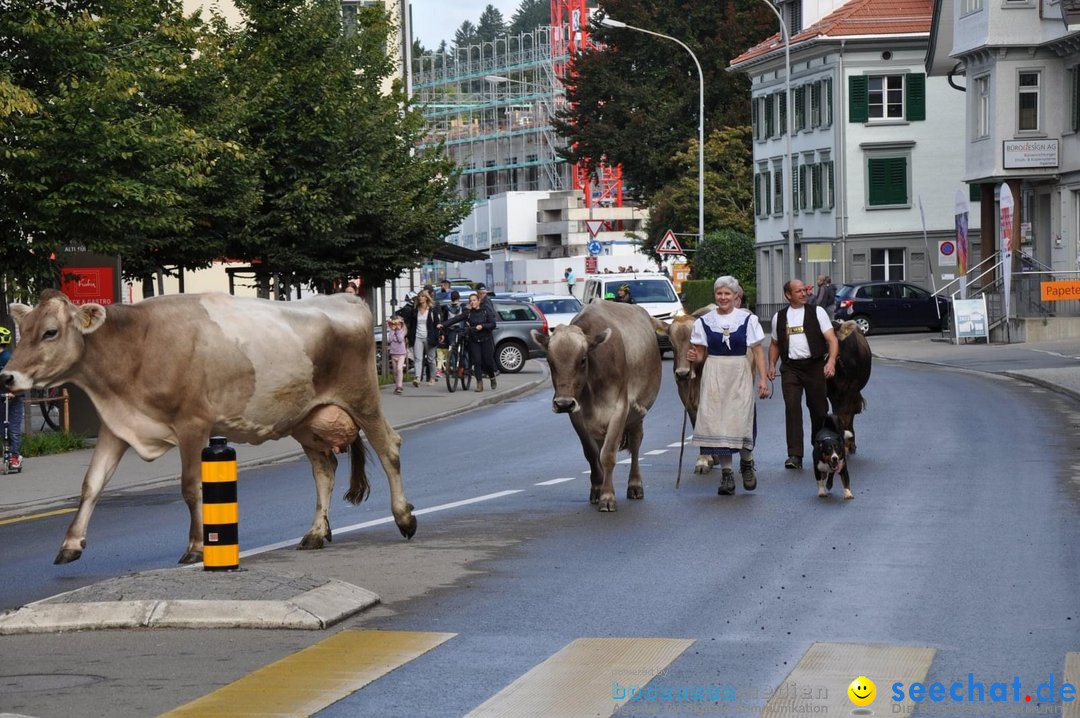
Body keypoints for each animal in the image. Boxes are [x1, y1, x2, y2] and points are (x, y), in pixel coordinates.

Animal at [1, 289, 416, 561]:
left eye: (50, 331)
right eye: (24, 330)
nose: (7, 377)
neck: (137, 346)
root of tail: (347, 297)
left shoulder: (193, 423)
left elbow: (190, 487)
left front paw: (196, 546)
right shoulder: (118, 426)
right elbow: (91, 484)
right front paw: (70, 544)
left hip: (362, 398)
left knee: (389, 446)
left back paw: (405, 518)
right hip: (306, 418)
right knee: (324, 469)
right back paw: (315, 533)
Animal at [529, 300, 660, 511]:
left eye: (583, 359)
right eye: (550, 361)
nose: (563, 403)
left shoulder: (619, 409)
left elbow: (608, 455)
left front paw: (607, 497)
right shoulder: (577, 415)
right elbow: (592, 453)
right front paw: (598, 490)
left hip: (637, 415)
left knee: (636, 443)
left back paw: (635, 485)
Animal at [829, 319, 872, 451]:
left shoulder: (851, 389)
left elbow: (846, 415)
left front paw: (846, 444)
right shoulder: (832, 393)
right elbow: (837, 415)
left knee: (851, 412)